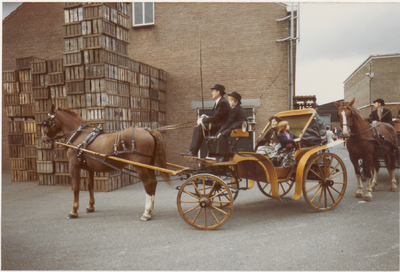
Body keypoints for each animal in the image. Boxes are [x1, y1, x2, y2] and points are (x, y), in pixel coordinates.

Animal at [42, 104, 170, 219]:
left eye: (47, 121)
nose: (44, 139)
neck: (79, 135)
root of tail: (149, 131)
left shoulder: (73, 166)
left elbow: (76, 187)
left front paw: (73, 211)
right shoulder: (89, 168)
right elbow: (90, 185)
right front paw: (90, 206)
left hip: (141, 167)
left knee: (148, 185)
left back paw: (146, 212)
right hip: (150, 165)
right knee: (153, 183)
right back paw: (150, 209)